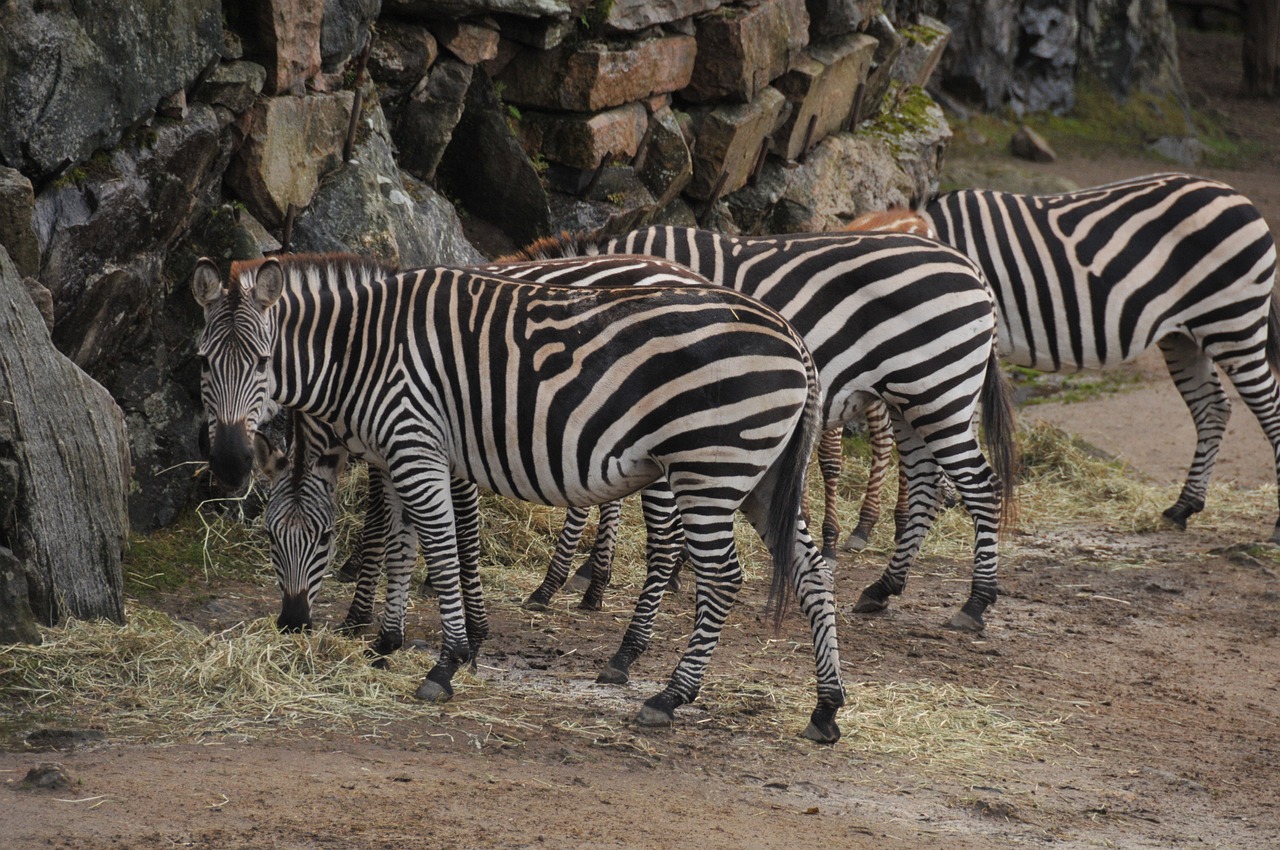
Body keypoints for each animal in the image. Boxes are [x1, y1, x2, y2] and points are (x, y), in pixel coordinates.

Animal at [192, 253, 849, 742]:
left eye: (263, 360)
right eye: (202, 363)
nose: (228, 463)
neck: (362, 350)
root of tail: (792, 335)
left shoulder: (420, 446)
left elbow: (442, 546)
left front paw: (448, 659)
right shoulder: (402, 452)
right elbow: (401, 544)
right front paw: (385, 643)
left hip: (709, 467)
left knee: (720, 577)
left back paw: (666, 694)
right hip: (759, 475)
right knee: (812, 570)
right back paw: (826, 707)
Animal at [504, 225, 1013, 629]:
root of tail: (973, 269)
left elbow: (590, 496)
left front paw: (563, 582)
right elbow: (607, 493)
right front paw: (601, 576)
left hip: (937, 391)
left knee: (981, 486)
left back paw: (975, 603)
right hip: (911, 402)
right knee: (929, 486)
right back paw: (883, 588)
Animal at [921, 174, 1280, 537]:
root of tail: (1235, 195)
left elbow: (962, 420)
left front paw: (947, 495)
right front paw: (948, 494)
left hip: (1233, 321)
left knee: (1268, 407)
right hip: (1184, 336)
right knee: (1213, 407)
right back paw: (1183, 506)